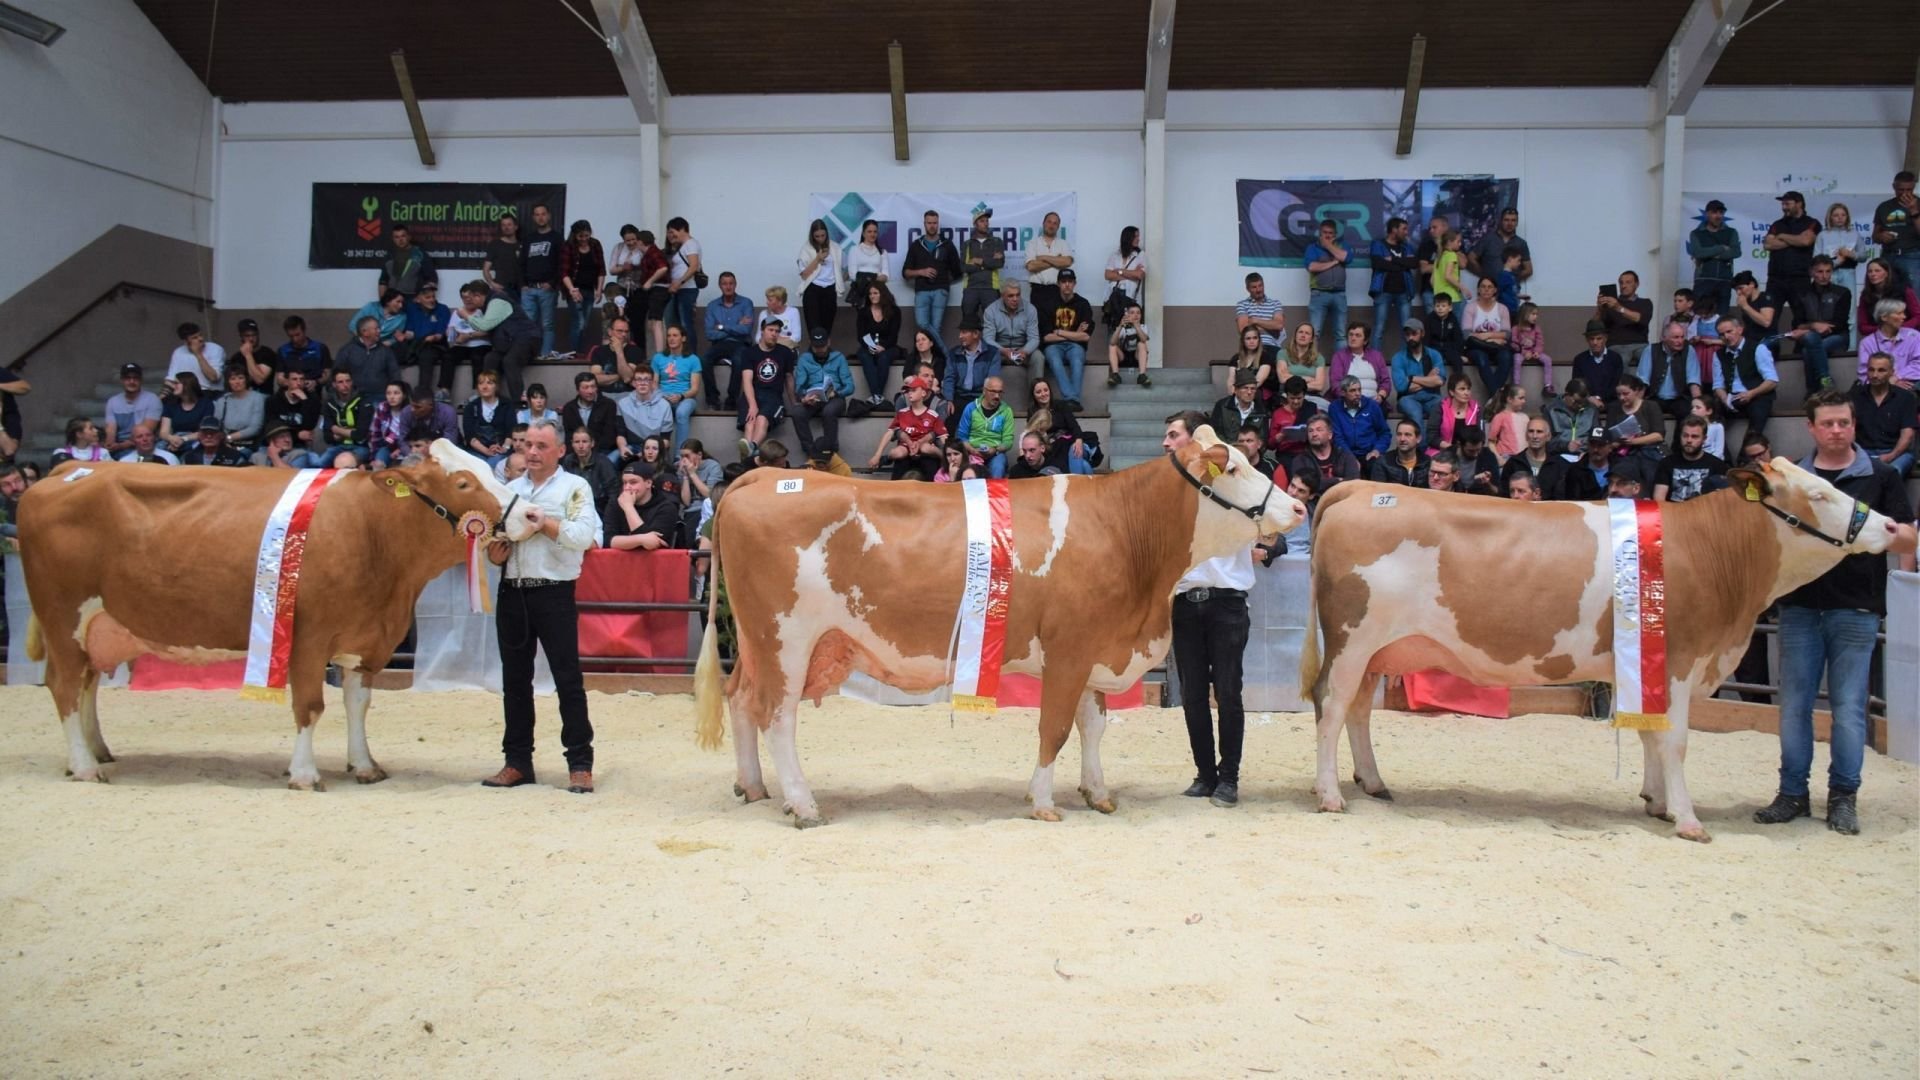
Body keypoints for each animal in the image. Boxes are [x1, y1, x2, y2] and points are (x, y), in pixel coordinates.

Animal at [18, 441, 537, 787]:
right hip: (62, 616)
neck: (372, 530)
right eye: (463, 482)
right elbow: (310, 704)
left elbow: (358, 705)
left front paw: (364, 765)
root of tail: (67, 470)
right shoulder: (308, 636)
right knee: (64, 685)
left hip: (94, 625)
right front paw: (305, 773)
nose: (532, 516)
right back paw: (85, 766)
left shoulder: (365, 639)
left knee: (86, 684)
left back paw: (98, 752)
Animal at [691, 424, 1305, 826]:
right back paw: (803, 804)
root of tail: (762, 476)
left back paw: (754, 786)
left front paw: (1098, 792)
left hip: (757, 643)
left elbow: (1093, 727)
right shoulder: (1069, 650)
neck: (1124, 532)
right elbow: (1054, 729)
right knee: (777, 717)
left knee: (741, 699)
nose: (1298, 509)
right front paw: (1043, 802)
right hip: (786, 639)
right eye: (1234, 467)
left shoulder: (1092, 649)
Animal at [1305, 455, 1904, 841]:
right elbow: (1676, 740)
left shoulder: (1648, 663)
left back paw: (1374, 782)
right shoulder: (1680, 660)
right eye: (1820, 494)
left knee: (1357, 711)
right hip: (1353, 639)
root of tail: (1360, 488)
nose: (1893, 525)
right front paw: (1688, 820)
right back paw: (1330, 795)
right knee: (1331, 706)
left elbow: (1651, 736)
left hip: (1376, 651)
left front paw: (1657, 803)